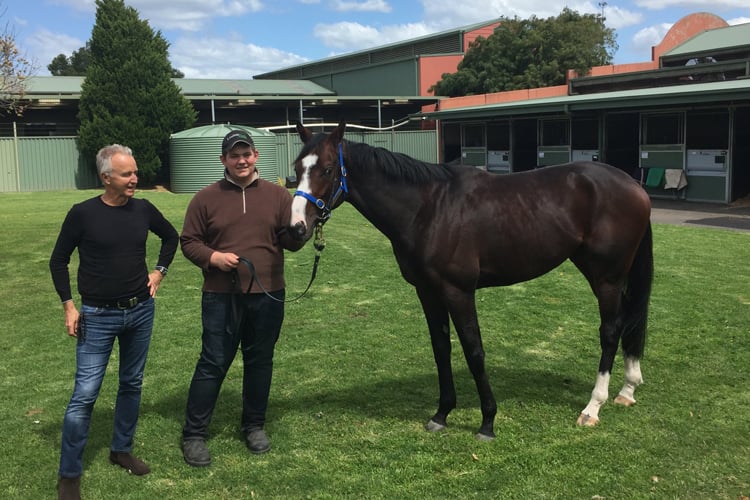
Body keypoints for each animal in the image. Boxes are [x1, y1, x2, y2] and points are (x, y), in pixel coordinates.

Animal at [290, 122, 656, 442]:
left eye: (326, 170)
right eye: (297, 168)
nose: (295, 229)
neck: (428, 208)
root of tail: (632, 185)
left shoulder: (459, 291)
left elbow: (473, 350)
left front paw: (487, 422)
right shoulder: (428, 292)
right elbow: (441, 349)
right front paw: (441, 414)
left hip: (606, 276)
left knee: (611, 331)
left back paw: (593, 407)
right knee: (627, 323)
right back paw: (627, 389)